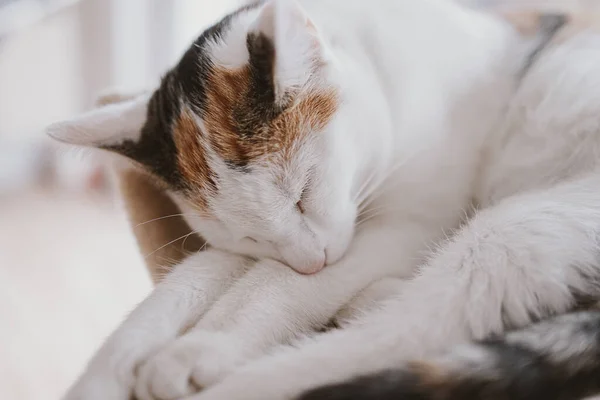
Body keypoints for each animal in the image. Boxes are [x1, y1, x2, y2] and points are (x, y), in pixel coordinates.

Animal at [48, 0, 600, 400]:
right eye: (248, 234)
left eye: (304, 192)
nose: (312, 260)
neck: (387, 70)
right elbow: (186, 285)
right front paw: (104, 374)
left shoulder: (412, 221)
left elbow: (275, 287)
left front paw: (203, 345)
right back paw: (371, 297)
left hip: (510, 233)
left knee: (411, 333)